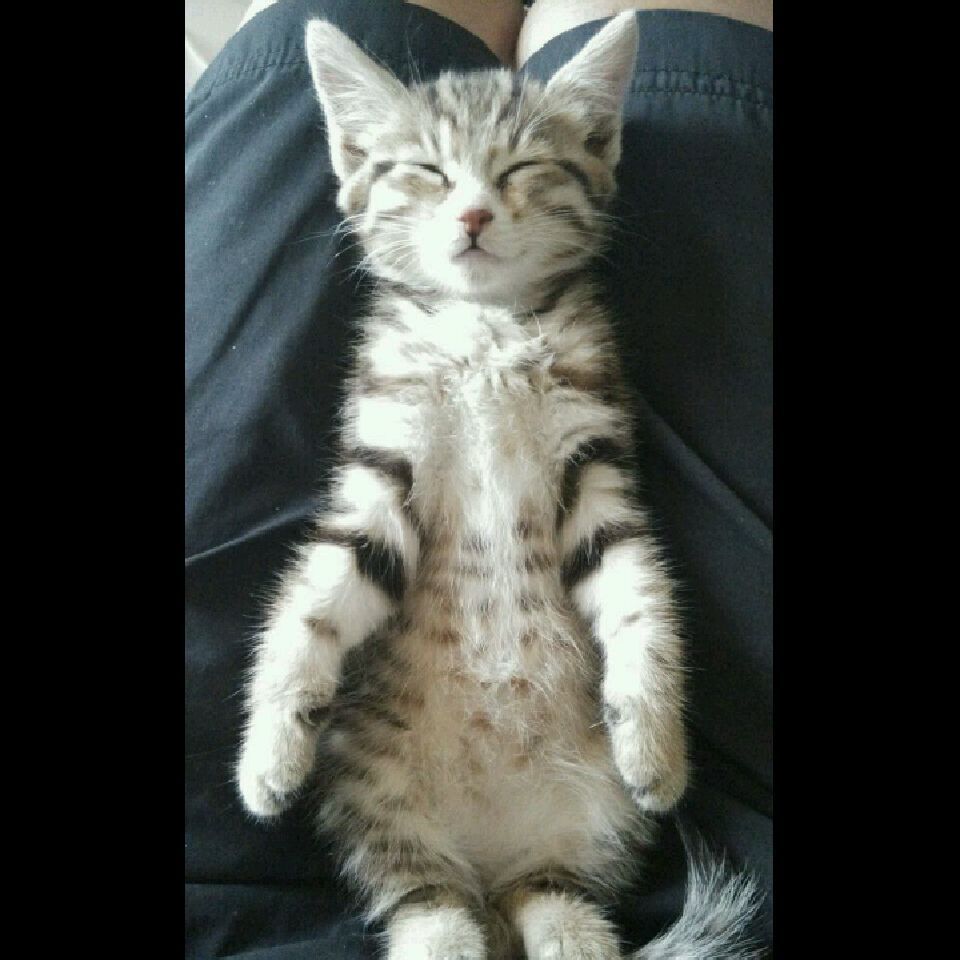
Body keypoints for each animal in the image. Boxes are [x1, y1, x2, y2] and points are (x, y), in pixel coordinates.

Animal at [236, 12, 761, 959]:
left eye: (522, 169)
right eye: (427, 170)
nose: (475, 213)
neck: (483, 326)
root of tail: (489, 862)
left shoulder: (594, 462)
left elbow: (641, 597)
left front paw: (657, 746)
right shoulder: (383, 464)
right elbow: (312, 602)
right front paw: (267, 757)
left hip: (586, 829)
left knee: (547, 896)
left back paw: (571, 929)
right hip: (378, 803)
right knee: (426, 898)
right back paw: (442, 928)